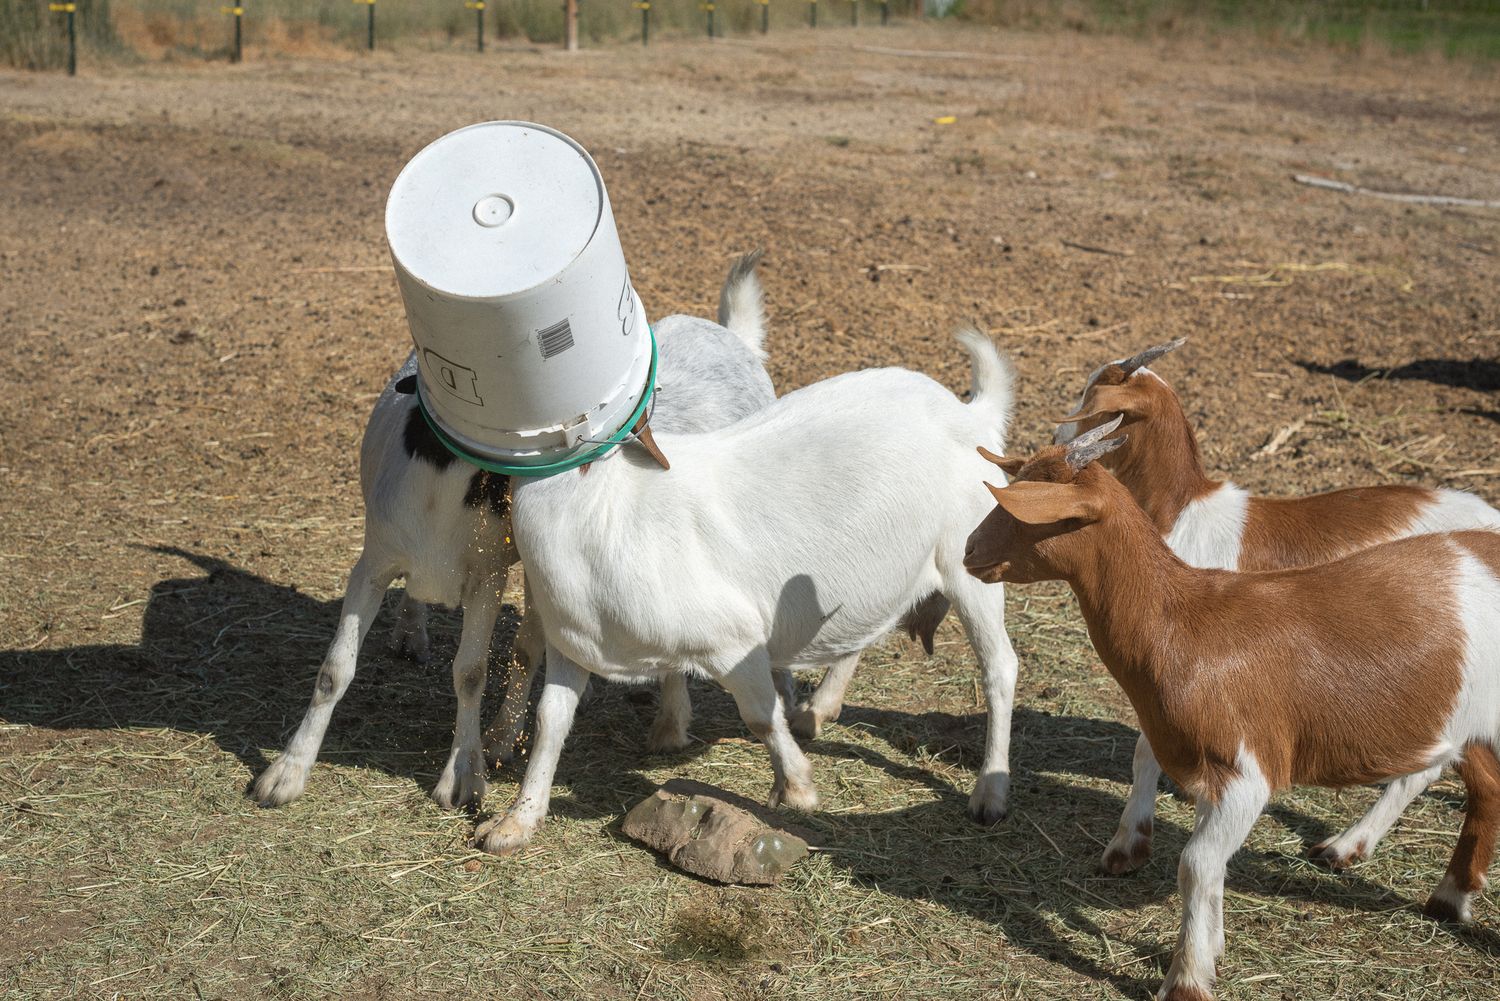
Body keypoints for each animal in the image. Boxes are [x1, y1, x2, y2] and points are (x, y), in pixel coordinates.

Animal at [252, 253, 787, 811]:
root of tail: (735, 338)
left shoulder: (486, 575)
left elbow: (470, 672)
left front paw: (463, 775)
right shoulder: (374, 561)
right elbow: (335, 669)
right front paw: (286, 774)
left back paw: (660, 723)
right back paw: (415, 635)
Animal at [472, 328, 1022, 855]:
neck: (600, 506)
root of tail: (970, 414)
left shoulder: (734, 640)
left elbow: (760, 715)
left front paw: (797, 787)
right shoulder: (573, 641)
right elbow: (550, 721)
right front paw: (516, 822)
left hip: (972, 557)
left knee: (1000, 667)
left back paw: (989, 795)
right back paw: (819, 709)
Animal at [964, 421, 1500, 1001]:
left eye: (1028, 509)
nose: (968, 550)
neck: (1183, 624)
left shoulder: (1247, 771)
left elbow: (1196, 864)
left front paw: (1187, 978)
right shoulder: (1207, 774)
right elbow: (1211, 864)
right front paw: (1212, 948)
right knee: (1473, 781)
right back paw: (1435, 890)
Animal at [1055, 339, 1500, 874]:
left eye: (1090, 397)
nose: (1056, 436)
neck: (1181, 513)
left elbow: (1146, 750)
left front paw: (1125, 846)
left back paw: (1346, 845)